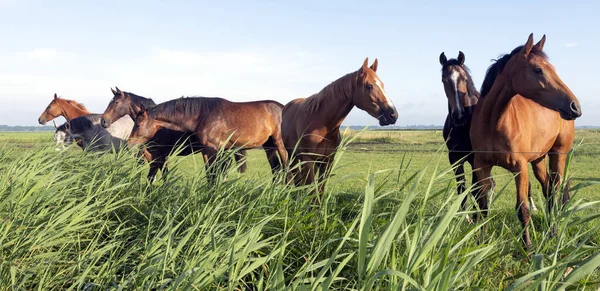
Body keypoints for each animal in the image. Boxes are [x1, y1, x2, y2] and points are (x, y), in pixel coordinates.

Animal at [126, 97, 286, 185]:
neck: (202, 115)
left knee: (286, 166)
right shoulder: (206, 150)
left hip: (280, 145)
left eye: (138, 124)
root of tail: (283, 107)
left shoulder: (212, 148)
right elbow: (210, 174)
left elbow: (214, 174)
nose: (129, 144)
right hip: (269, 147)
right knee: (276, 169)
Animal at [282, 57, 398, 198]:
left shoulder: (327, 161)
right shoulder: (308, 160)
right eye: (369, 86)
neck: (323, 124)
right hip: (292, 155)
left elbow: (319, 191)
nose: (393, 115)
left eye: (382, 85)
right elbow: (312, 191)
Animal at [440, 51, 540, 222]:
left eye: (464, 79)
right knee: (491, 184)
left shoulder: (475, 158)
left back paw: (532, 207)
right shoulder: (455, 158)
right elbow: (462, 187)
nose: (459, 116)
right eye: (444, 80)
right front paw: (464, 217)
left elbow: (476, 188)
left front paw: (476, 217)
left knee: (526, 185)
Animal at [472, 34, 584, 249]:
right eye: (538, 69)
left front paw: (528, 247)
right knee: (548, 189)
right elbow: (483, 206)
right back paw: (550, 229)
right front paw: (481, 242)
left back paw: (553, 231)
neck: (494, 122)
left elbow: (522, 208)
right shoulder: (481, 165)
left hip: (558, 155)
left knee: (555, 190)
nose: (575, 106)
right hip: (539, 161)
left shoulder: (520, 168)